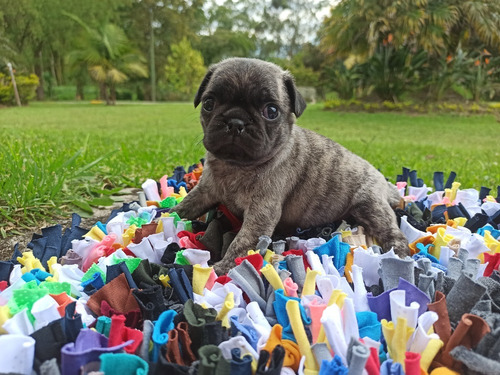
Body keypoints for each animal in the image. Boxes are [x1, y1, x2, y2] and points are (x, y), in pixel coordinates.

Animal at [170, 59, 408, 276]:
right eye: (209, 103)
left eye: (271, 111)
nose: (236, 121)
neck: (235, 165)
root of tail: (383, 182)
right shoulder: (205, 191)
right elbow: (185, 206)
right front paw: (165, 218)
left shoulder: (261, 213)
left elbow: (243, 242)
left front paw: (224, 269)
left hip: (371, 206)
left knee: (394, 232)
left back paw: (399, 255)